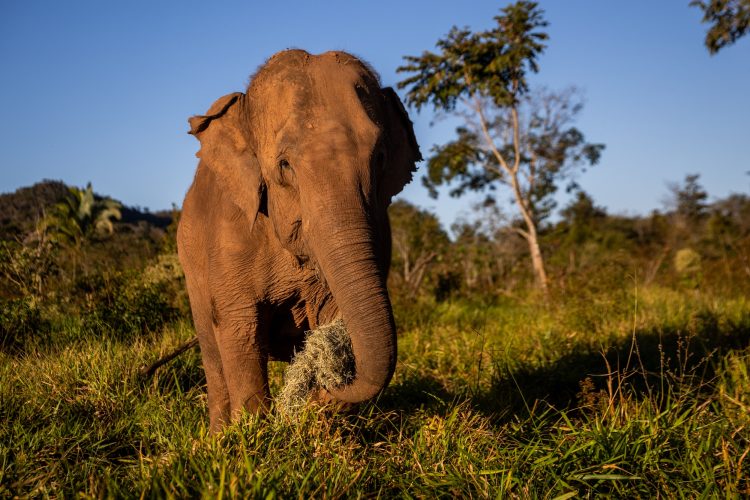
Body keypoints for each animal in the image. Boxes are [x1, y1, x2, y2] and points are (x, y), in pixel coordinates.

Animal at [177, 49, 421, 430]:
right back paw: (217, 435)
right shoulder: (231, 232)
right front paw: (251, 434)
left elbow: (332, 313)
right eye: (285, 166)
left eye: (380, 157)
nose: (323, 390)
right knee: (212, 351)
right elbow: (239, 326)